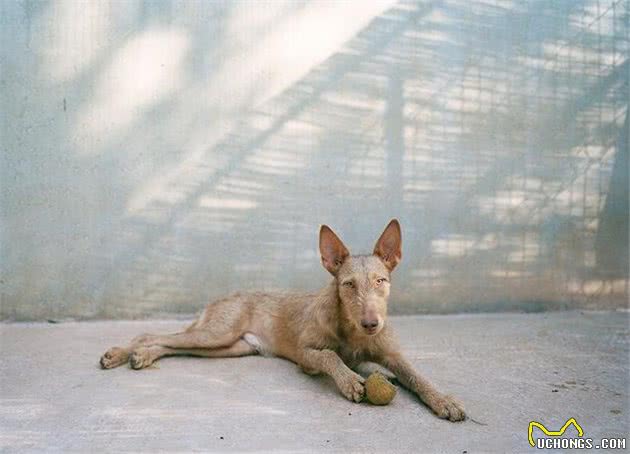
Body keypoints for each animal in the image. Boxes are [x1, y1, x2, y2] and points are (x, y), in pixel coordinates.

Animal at [101, 220, 466, 422]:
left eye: (381, 281)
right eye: (348, 285)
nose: (372, 324)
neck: (351, 330)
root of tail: (224, 298)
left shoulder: (392, 355)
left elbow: (417, 376)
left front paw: (444, 401)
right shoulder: (306, 354)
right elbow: (330, 356)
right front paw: (350, 380)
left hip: (230, 347)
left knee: (169, 344)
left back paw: (142, 356)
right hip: (218, 332)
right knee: (149, 333)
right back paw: (125, 352)